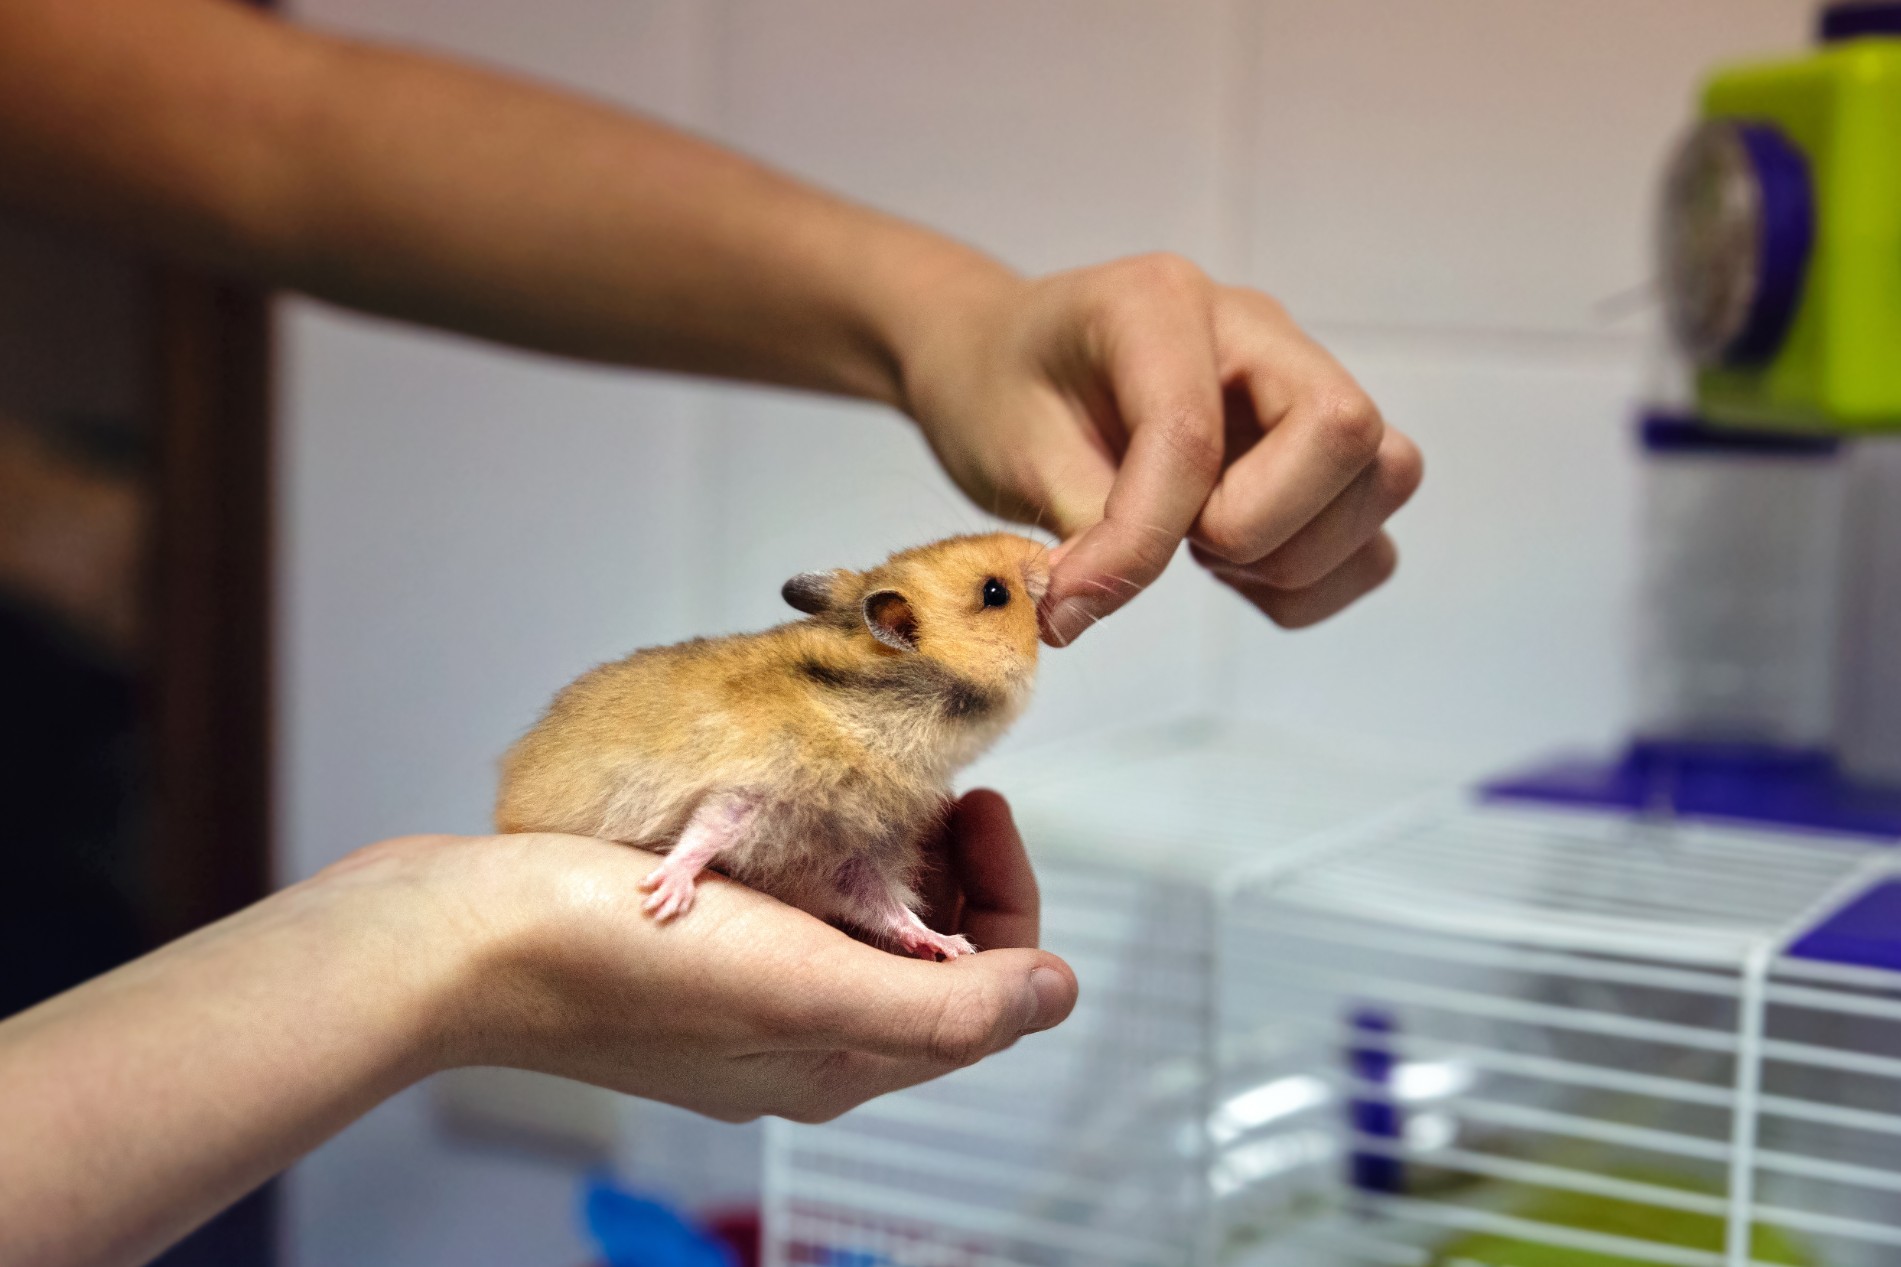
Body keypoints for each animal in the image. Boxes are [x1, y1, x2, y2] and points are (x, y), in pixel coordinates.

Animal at [495, 532, 1049, 959]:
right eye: (995, 593)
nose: (1047, 551)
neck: (881, 715)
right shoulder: (753, 786)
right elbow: (706, 830)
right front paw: (662, 897)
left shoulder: (853, 852)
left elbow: (886, 905)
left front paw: (951, 946)